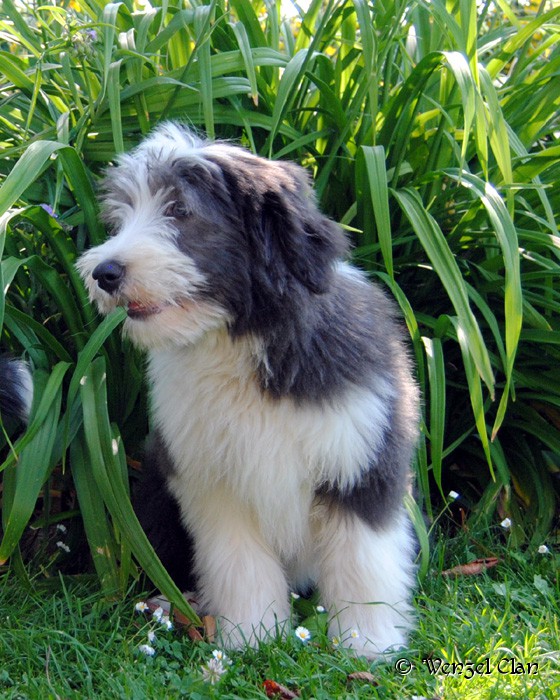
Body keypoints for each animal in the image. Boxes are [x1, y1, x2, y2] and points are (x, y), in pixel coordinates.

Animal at [77, 123, 419, 658]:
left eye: (180, 210)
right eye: (124, 214)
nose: (103, 273)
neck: (244, 340)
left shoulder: (362, 460)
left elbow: (363, 561)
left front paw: (367, 642)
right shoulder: (213, 480)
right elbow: (238, 562)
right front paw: (252, 636)